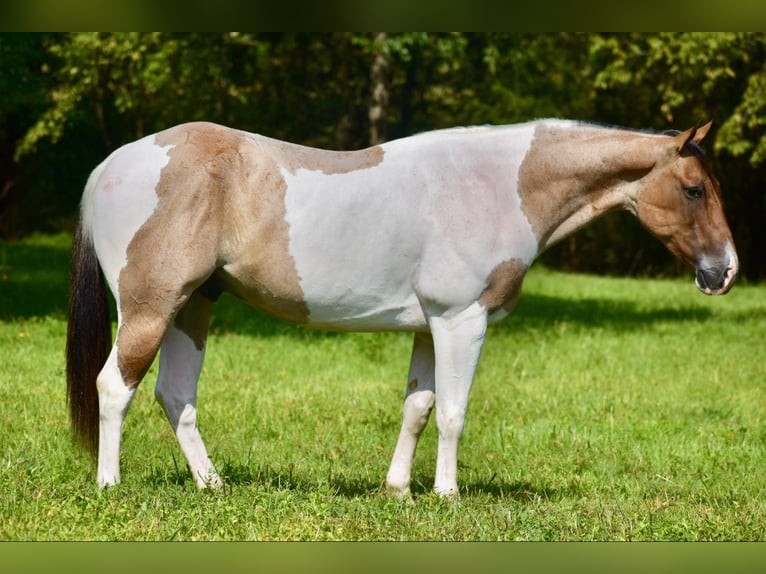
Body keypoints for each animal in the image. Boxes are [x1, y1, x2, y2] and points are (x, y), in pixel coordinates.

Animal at [69, 119, 740, 498]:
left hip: (194, 309)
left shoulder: (429, 327)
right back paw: (109, 486)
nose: (726, 271)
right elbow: (453, 414)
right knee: (115, 387)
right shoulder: (462, 321)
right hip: (152, 308)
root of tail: (111, 163)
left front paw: (399, 492)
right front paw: (446, 496)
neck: (497, 186)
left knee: (176, 396)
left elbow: (418, 409)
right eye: (693, 189)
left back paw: (213, 487)